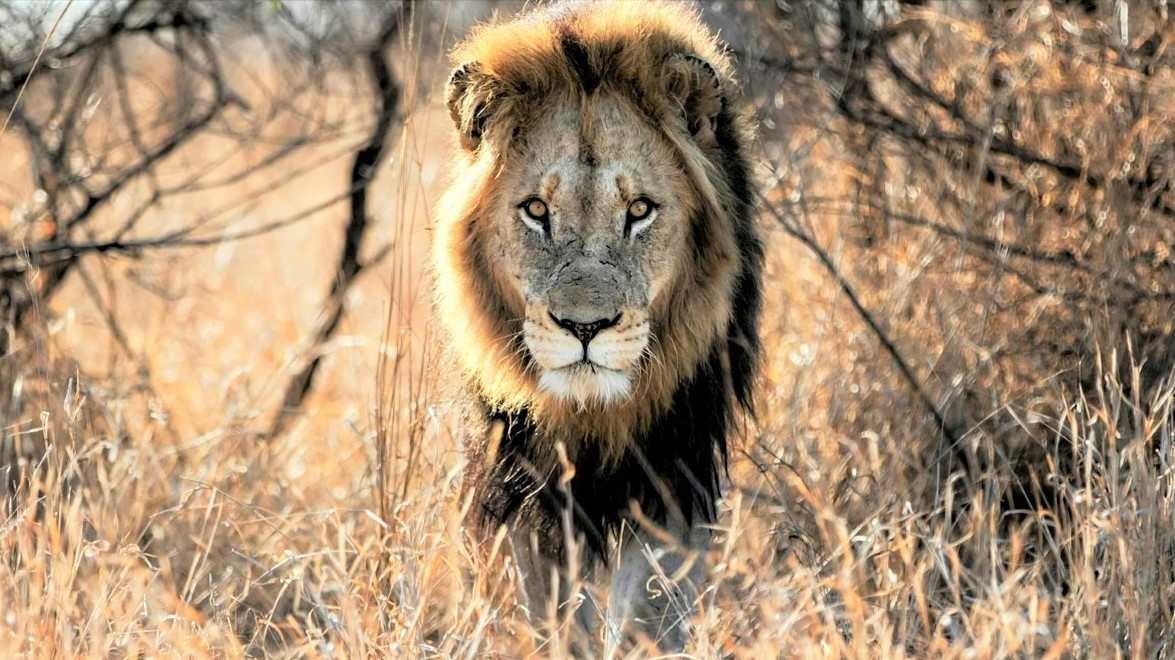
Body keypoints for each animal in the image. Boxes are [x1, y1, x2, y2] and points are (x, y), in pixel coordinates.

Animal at [432, 0, 761, 648]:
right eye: (537, 210)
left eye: (639, 210)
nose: (585, 328)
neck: (593, 414)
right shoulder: (524, 479)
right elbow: (551, 617)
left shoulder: (674, 465)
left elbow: (649, 612)